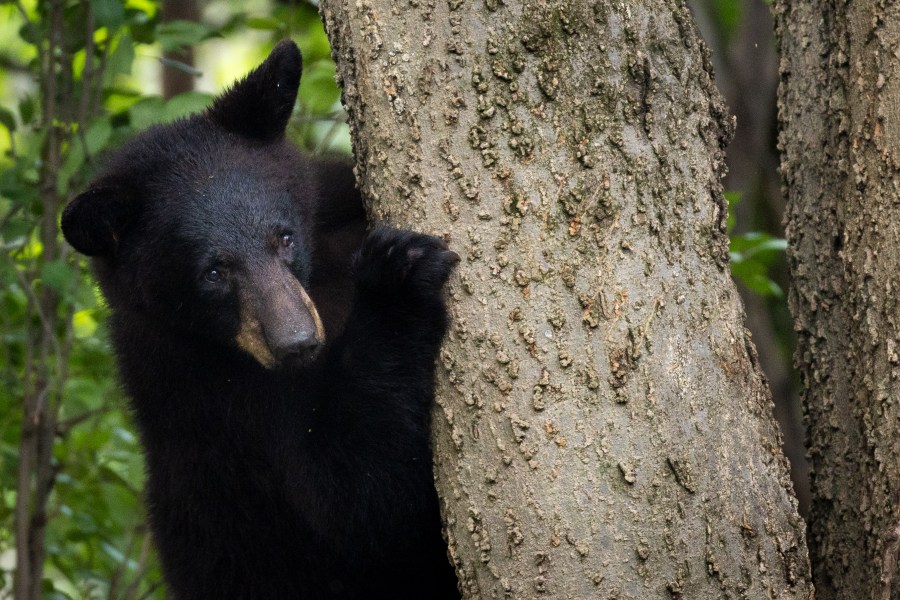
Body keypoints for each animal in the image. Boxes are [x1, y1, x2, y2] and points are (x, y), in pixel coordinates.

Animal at [60, 40, 460, 600]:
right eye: (213, 272)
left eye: (285, 237)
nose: (298, 343)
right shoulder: (216, 398)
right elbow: (359, 497)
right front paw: (396, 276)